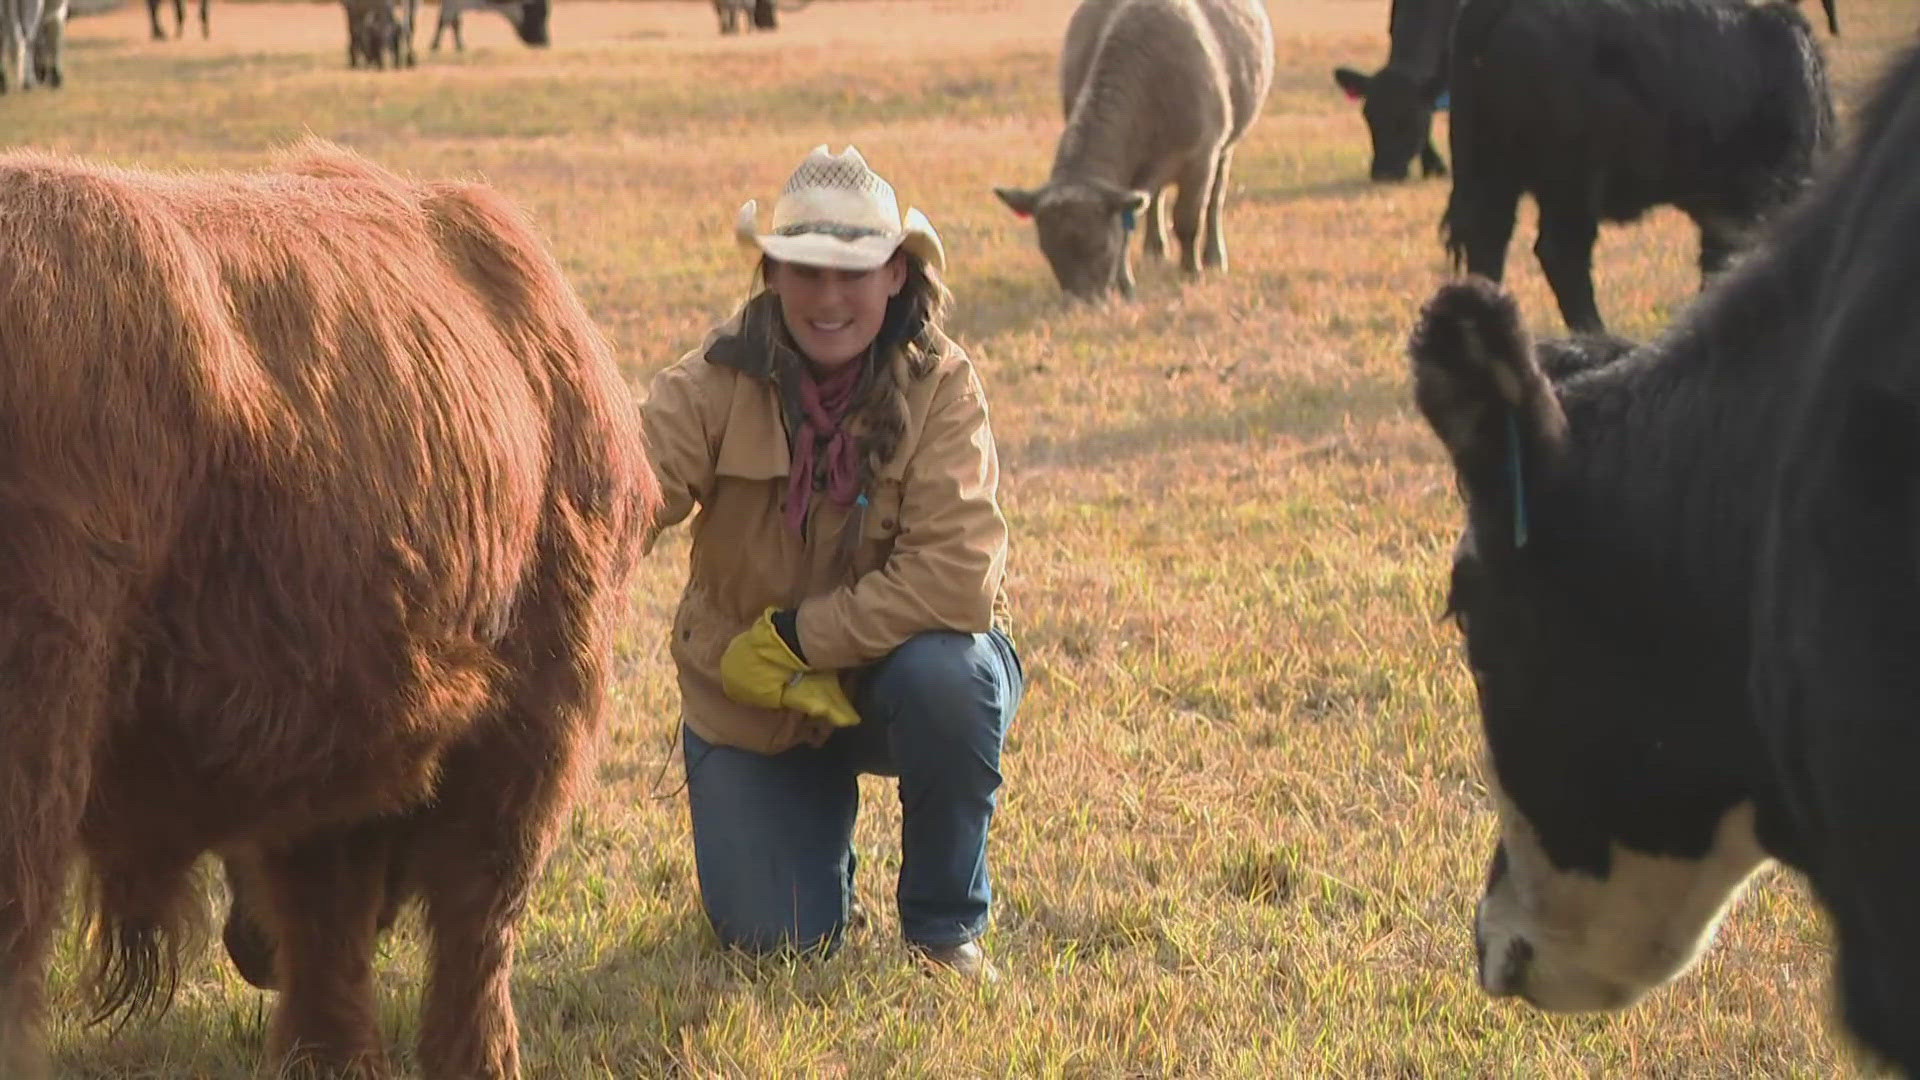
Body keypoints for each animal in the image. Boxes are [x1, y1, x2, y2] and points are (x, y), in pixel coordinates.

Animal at [990, 0, 1274, 297]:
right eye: (1048, 250)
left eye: (1101, 246)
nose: (1083, 301)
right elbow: (1126, 227)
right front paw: (1125, 285)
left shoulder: (1201, 159)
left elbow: (1187, 220)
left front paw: (1191, 272)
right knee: (1154, 198)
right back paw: (1154, 249)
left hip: (1225, 150)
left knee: (1215, 200)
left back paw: (1213, 257)